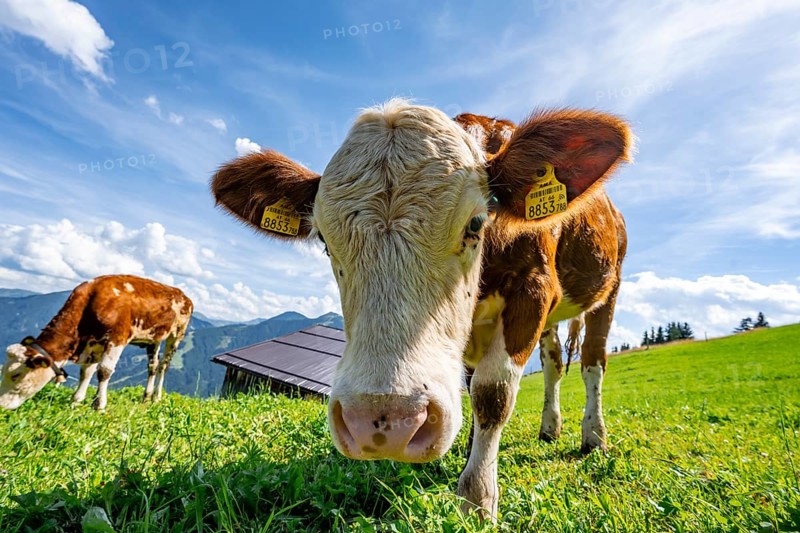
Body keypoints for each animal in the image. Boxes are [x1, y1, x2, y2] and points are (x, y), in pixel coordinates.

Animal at [0, 275, 193, 411]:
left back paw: (156, 397)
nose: (1, 405)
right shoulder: (94, 344)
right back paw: (146, 397)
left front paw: (99, 405)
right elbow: (86, 372)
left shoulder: (117, 338)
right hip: (154, 337)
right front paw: (76, 401)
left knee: (163, 366)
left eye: (16, 375)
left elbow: (103, 371)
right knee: (152, 366)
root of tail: (183, 295)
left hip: (177, 334)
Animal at [211, 99, 631, 520]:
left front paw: (477, 498)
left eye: (476, 223)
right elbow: (474, 390)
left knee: (592, 362)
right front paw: (469, 461)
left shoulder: (533, 289)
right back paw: (549, 427)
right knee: (554, 363)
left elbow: (492, 394)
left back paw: (594, 436)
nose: (383, 422)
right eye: (324, 241)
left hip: (609, 287)